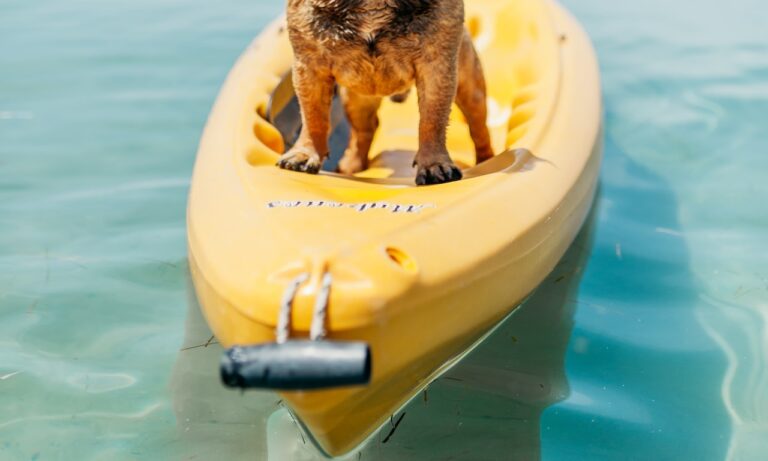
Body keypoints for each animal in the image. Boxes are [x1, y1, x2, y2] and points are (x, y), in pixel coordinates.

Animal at [276, 0, 492, 183]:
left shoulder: (435, 67)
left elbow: (432, 120)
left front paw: (434, 165)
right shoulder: (310, 66)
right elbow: (314, 116)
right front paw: (304, 153)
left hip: (471, 89)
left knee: (478, 129)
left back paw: (486, 160)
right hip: (355, 100)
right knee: (363, 132)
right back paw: (352, 166)